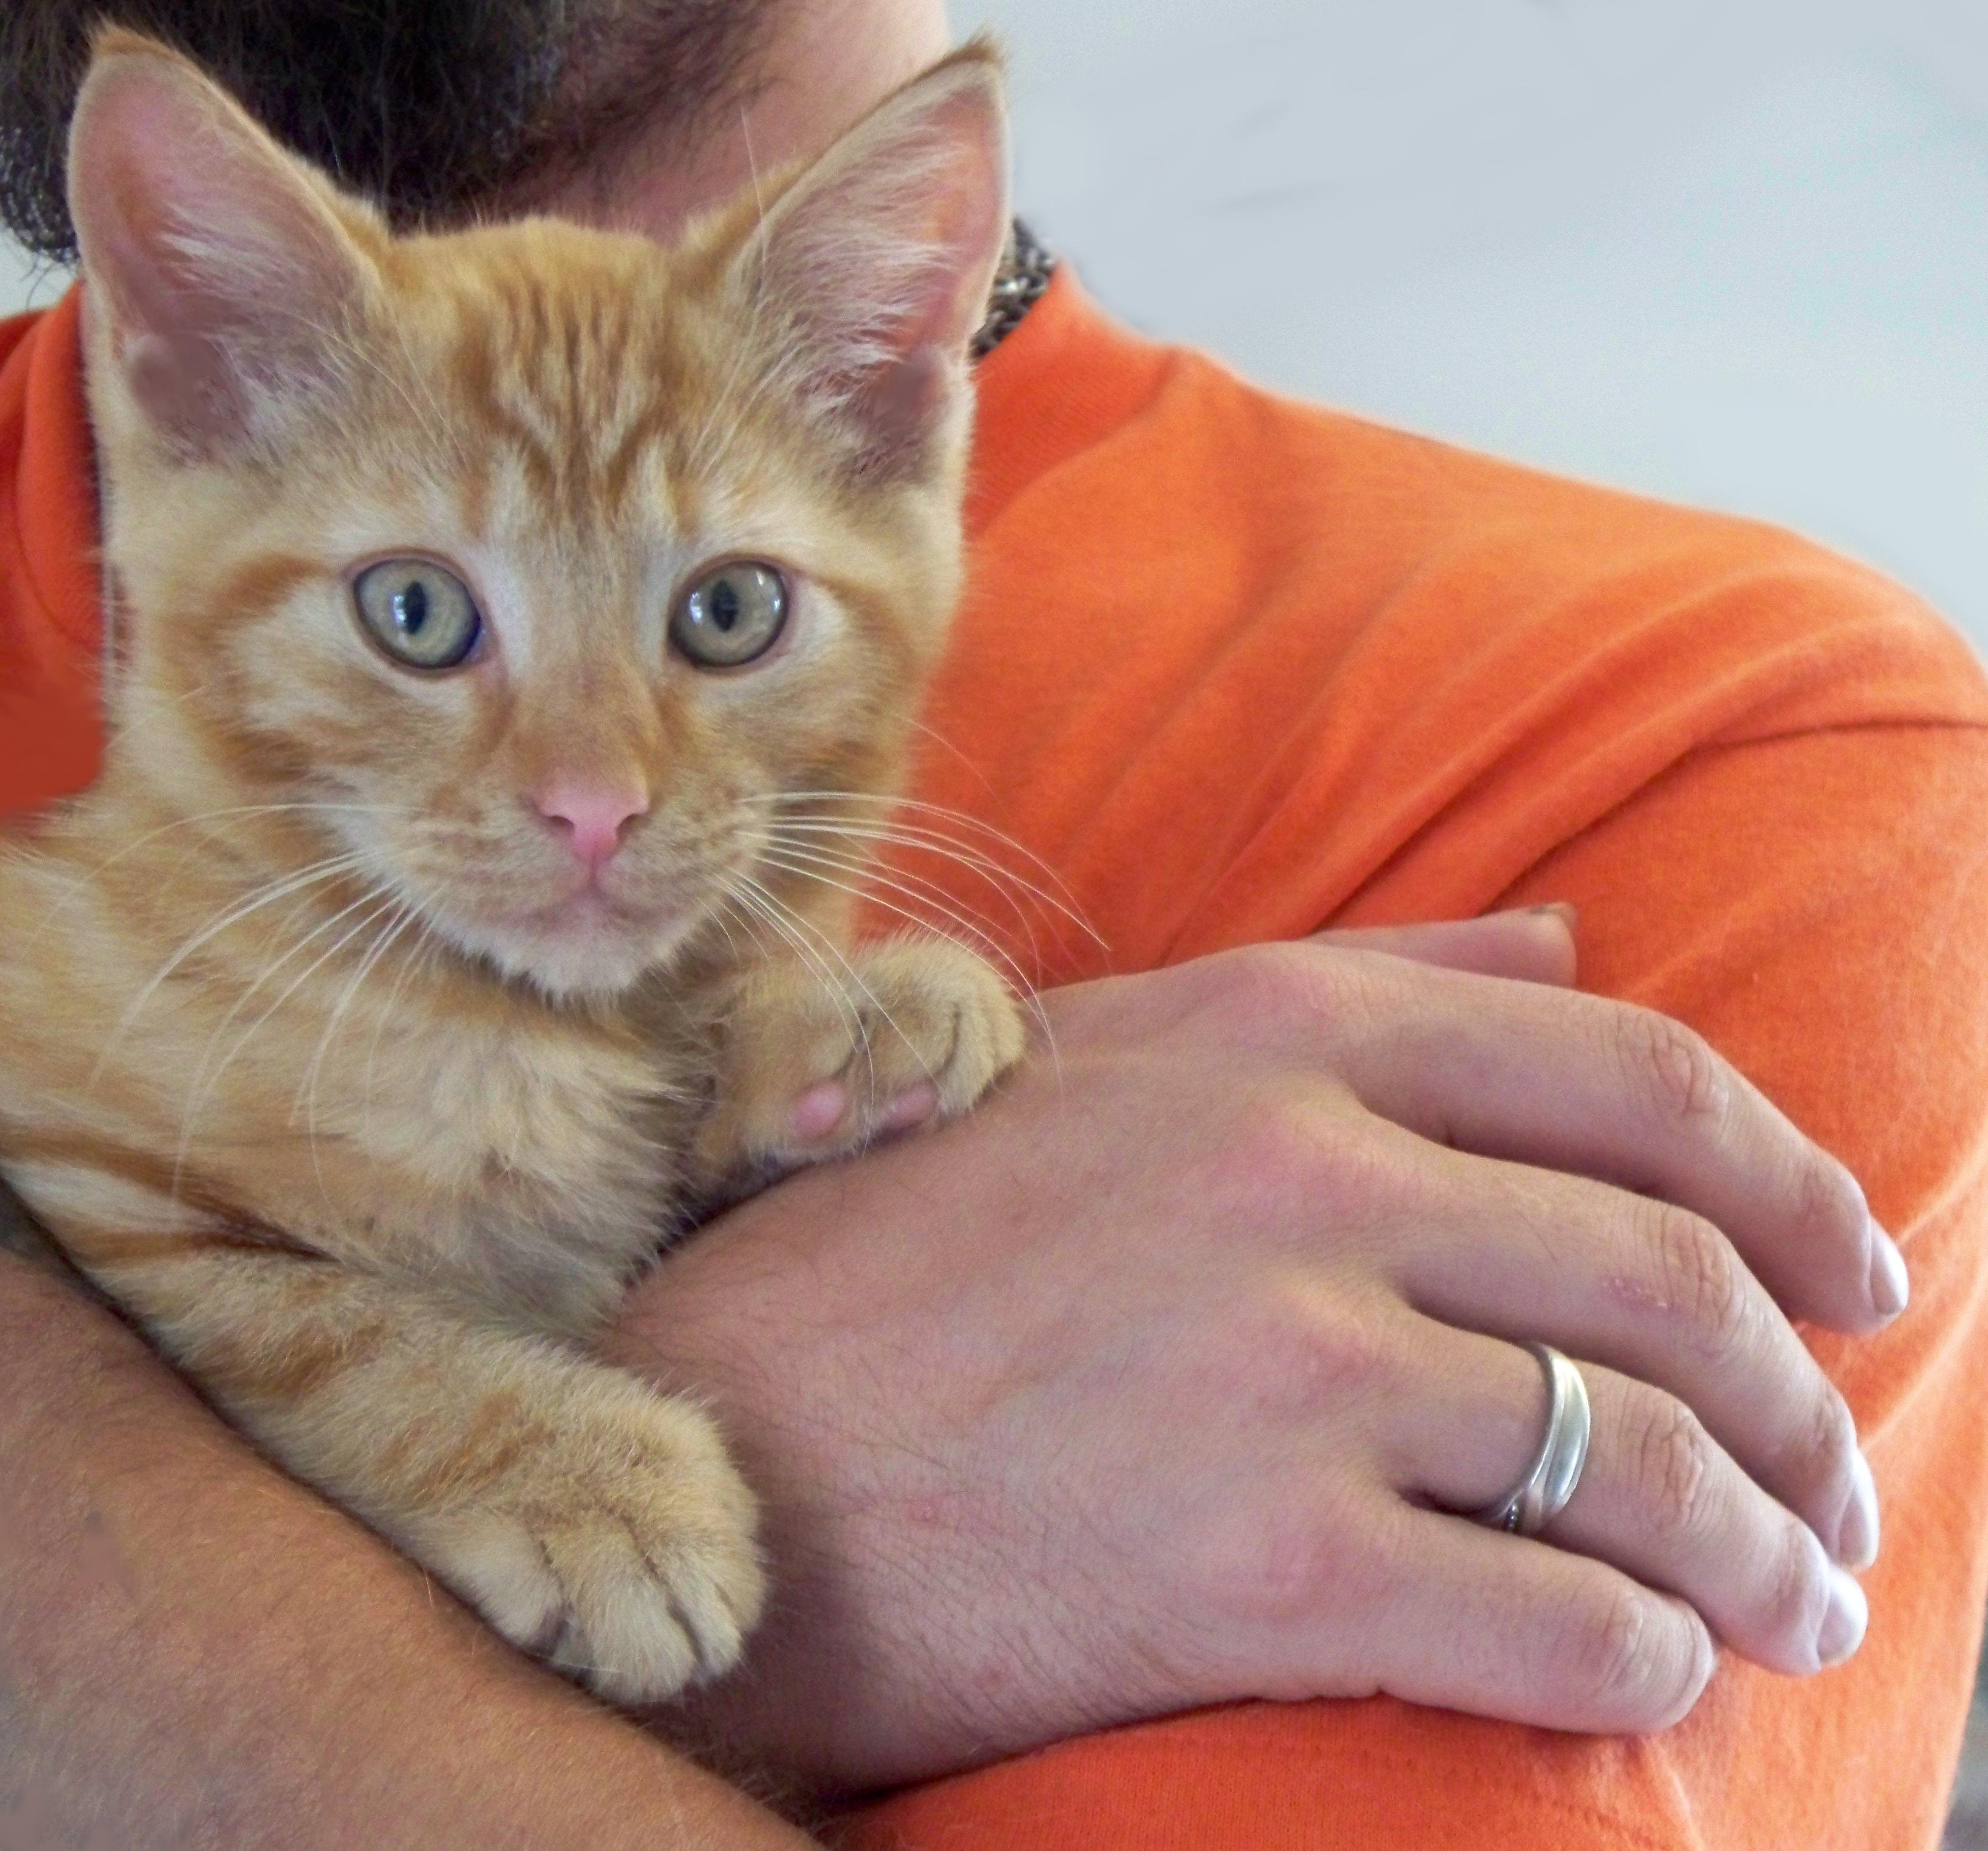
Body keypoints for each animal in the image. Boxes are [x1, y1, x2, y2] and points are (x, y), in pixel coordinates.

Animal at [0, 29, 1026, 1709]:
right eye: (414, 611)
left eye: (730, 610)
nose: (593, 809)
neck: (500, 1032)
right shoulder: (75, 1173)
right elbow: (313, 1316)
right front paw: (592, 1482)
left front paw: (839, 1020)